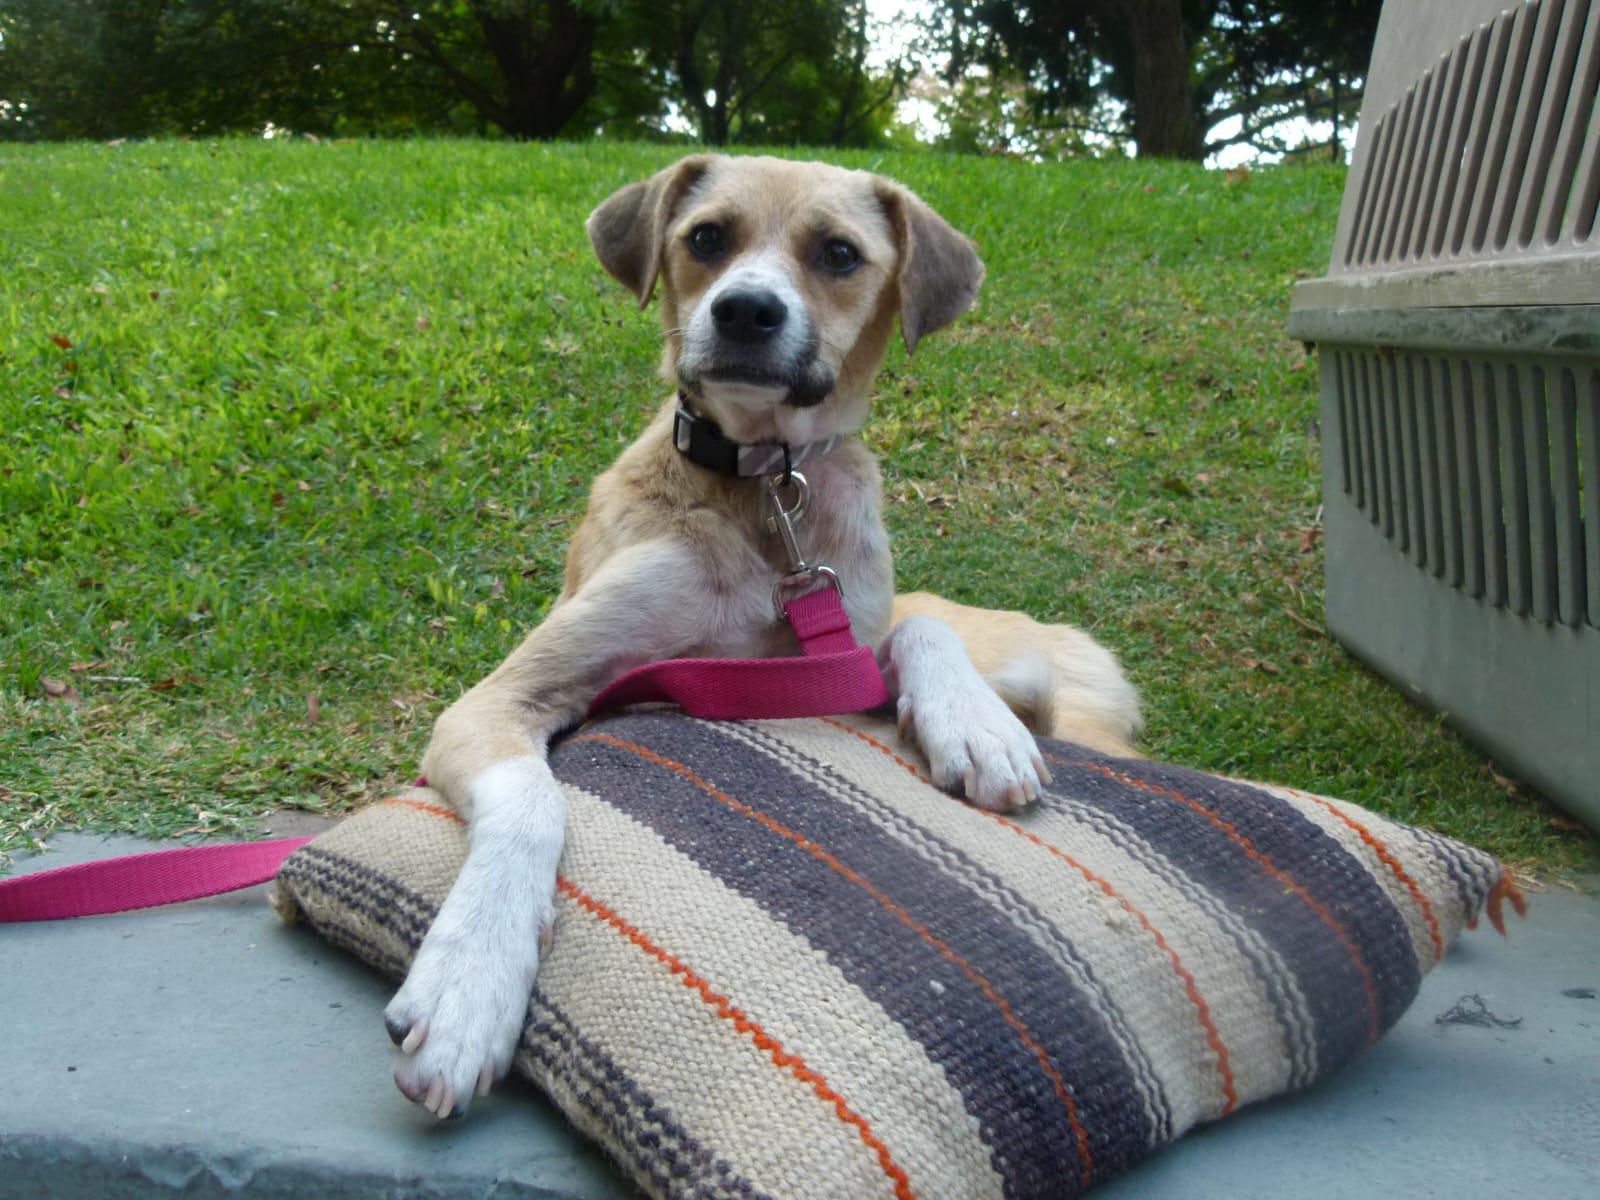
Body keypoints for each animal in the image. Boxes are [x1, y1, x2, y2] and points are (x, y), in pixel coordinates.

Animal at [382, 154, 1142, 1119]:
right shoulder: (507, 695)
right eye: (707, 236)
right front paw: (469, 983)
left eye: (840, 253)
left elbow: (918, 626)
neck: (761, 492)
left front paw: (975, 728)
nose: (745, 311)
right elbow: (531, 803)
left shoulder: (837, 654)